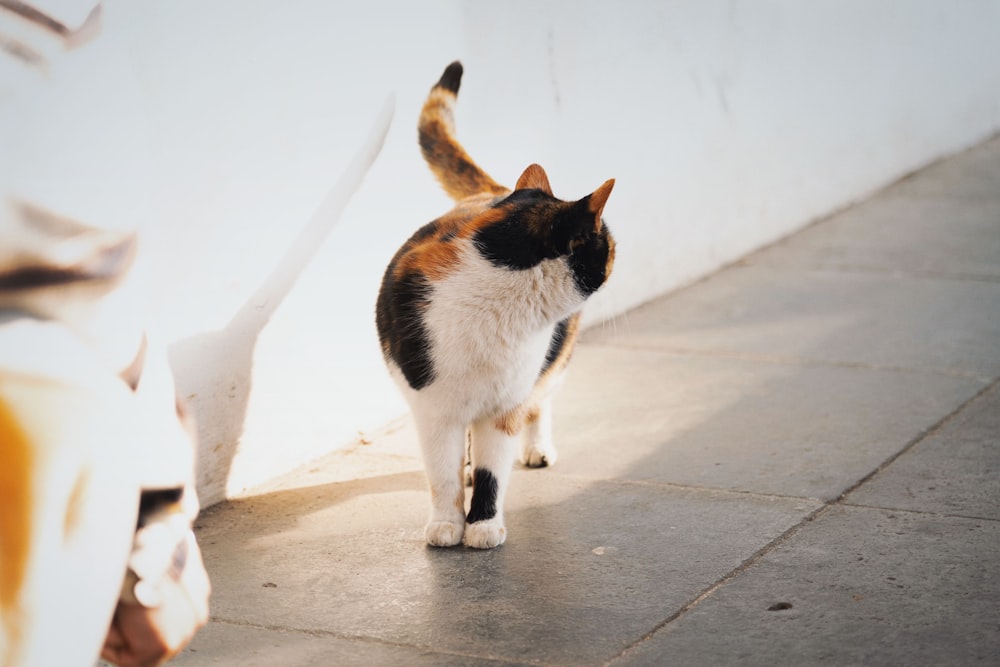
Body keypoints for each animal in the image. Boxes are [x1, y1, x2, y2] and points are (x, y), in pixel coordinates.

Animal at [376, 61, 612, 548]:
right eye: (609, 246)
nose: (617, 254)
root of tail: (498, 190)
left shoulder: (505, 406)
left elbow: (493, 471)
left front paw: (483, 526)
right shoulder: (433, 410)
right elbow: (441, 475)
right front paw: (447, 523)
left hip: (554, 363)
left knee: (541, 404)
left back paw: (537, 448)